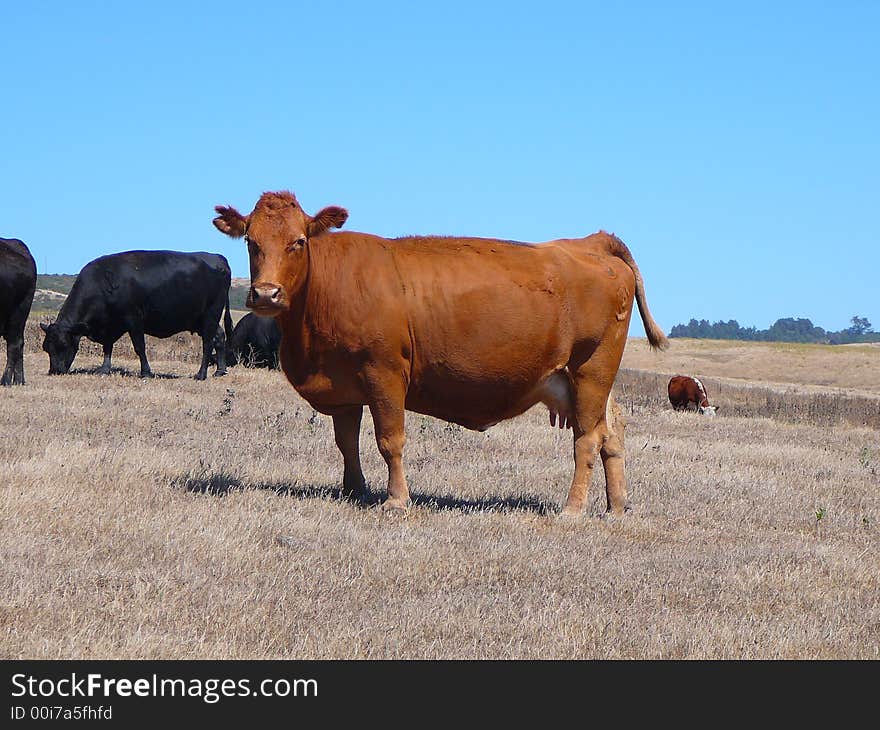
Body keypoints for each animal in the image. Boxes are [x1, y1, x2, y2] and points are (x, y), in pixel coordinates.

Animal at [40, 249, 234, 378]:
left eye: (63, 345)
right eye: (46, 348)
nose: (54, 371)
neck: (105, 281)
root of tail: (217, 257)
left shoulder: (133, 319)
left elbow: (139, 347)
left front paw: (146, 372)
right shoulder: (111, 324)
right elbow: (107, 346)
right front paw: (104, 369)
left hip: (211, 314)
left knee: (208, 343)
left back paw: (201, 374)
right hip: (200, 319)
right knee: (219, 336)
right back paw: (220, 371)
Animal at [215, 191, 668, 516]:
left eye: (298, 241)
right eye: (251, 242)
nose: (266, 294)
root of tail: (590, 243)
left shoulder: (384, 373)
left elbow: (389, 440)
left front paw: (396, 499)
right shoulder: (343, 388)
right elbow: (346, 442)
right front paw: (355, 491)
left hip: (591, 369)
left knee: (587, 439)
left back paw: (572, 509)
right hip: (586, 381)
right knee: (611, 434)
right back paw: (615, 506)